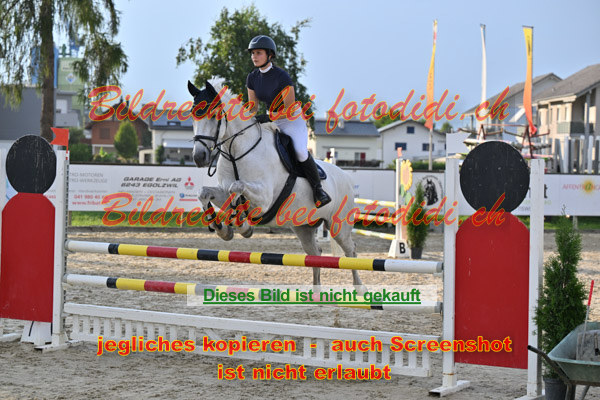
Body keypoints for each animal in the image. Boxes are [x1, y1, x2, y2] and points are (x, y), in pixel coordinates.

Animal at [188, 78, 364, 293]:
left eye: (214, 115)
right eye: (193, 115)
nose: (199, 157)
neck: (236, 153)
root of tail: (345, 176)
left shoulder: (264, 199)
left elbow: (237, 188)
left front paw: (243, 226)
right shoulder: (223, 192)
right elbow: (206, 193)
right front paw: (222, 228)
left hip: (339, 226)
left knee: (351, 252)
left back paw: (359, 289)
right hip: (303, 227)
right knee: (315, 253)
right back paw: (316, 293)